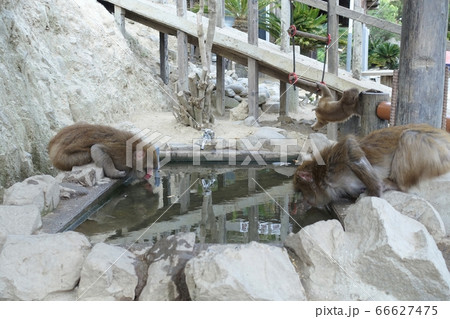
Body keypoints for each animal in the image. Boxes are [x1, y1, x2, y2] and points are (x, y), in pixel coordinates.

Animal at [294, 125, 450, 208]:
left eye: (301, 191)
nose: (299, 203)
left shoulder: (334, 163)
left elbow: (350, 145)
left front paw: (376, 191)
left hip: (435, 150)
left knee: (409, 136)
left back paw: (394, 184)